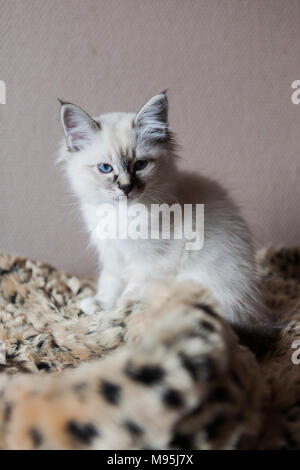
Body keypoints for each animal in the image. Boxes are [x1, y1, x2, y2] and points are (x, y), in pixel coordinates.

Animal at [58, 92, 264, 326]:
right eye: (105, 168)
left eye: (140, 165)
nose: (125, 187)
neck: (122, 214)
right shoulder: (112, 255)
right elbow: (110, 284)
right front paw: (99, 305)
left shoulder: (150, 263)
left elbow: (128, 295)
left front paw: (113, 315)